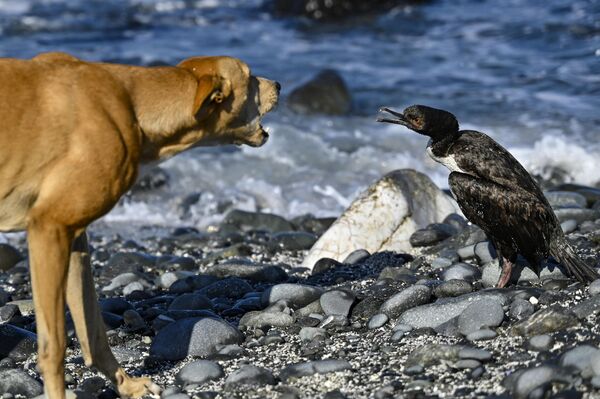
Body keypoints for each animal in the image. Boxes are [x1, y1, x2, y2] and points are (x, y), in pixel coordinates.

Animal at [0, 51, 280, 398]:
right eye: (250, 76)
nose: (279, 85)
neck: (131, 102)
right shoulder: (49, 228)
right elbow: (55, 345)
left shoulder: (73, 237)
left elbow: (93, 331)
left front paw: (128, 385)